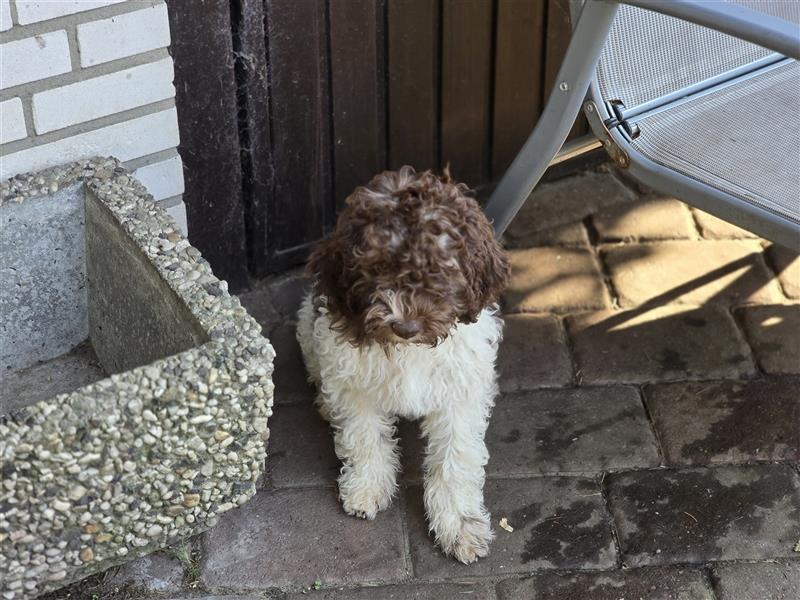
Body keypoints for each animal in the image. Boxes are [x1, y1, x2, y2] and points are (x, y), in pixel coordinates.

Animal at [296, 165, 510, 564]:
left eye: (440, 268)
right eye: (377, 266)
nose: (406, 326)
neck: (411, 350)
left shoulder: (460, 391)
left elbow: (456, 458)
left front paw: (460, 524)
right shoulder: (353, 381)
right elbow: (364, 437)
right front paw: (366, 486)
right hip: (309, 324)